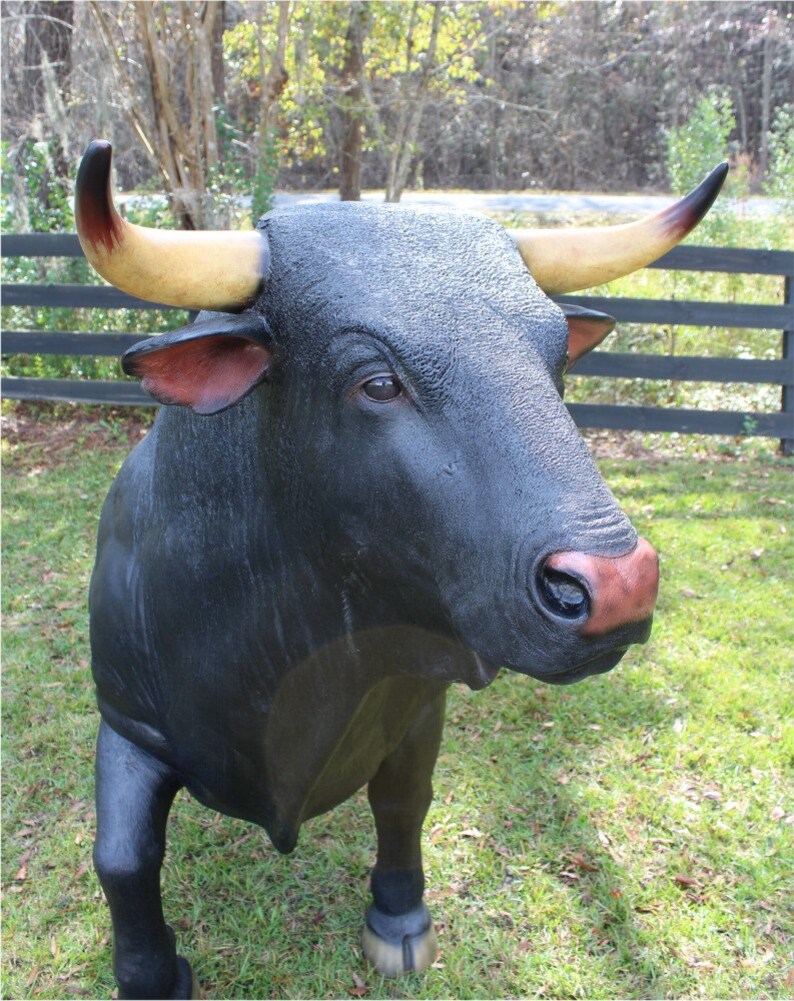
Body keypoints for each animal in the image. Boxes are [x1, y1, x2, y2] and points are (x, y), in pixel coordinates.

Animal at [75, 140, 726, 1000]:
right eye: (377, 380)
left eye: (557, 360)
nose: (618, 586)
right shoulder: (128, 722)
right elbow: (123, 857)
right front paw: (150, 974)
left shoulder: (419, 703)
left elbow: (403, 801)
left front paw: (398, 918)